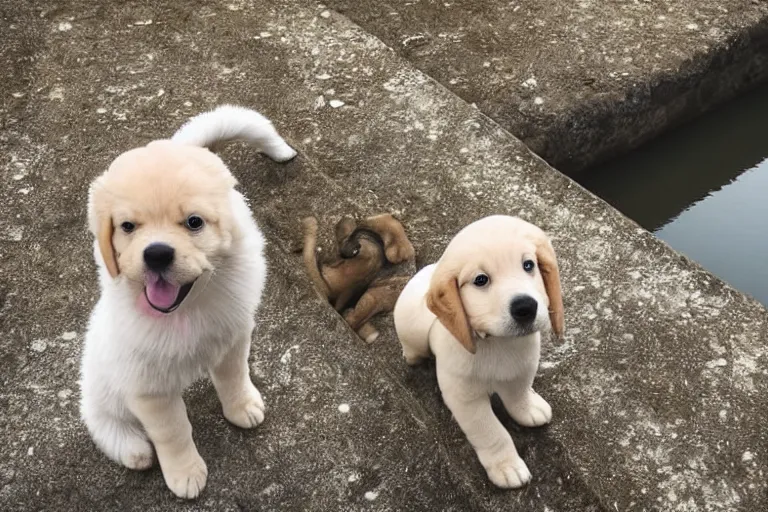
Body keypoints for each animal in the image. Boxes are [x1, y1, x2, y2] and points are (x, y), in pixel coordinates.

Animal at [81, 105, 296, 500]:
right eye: (128, 226)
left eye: (194, 222)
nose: (157, 254)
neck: (186, 309)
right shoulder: (149, 388)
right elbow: (173, 432)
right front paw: (185, 474)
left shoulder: (231, 338)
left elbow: (234, 378)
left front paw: (242, 407)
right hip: (100, 382)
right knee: (100, 416)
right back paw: (131, 448)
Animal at [396, 215, 564, 488]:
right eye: (481, 280)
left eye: (529, 265)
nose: (526, 307)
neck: (498, 343)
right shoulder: (466, 400)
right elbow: (492, 432)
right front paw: (506, 466)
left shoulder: (521, 371)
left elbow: (519, 396)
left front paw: (528, 409)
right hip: (412, 327)